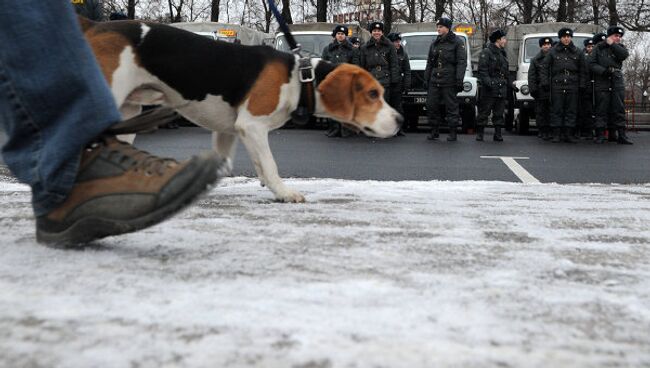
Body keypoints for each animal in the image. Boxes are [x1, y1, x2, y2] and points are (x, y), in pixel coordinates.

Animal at [80, 18, 400, 203]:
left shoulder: (229, 130)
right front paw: (284, 192)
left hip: (130, 110)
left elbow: (234, 162)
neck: (300, 77)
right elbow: (269, 163)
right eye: (373, 94)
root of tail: (95, 26)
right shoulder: (253, 126)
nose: (400, 119)